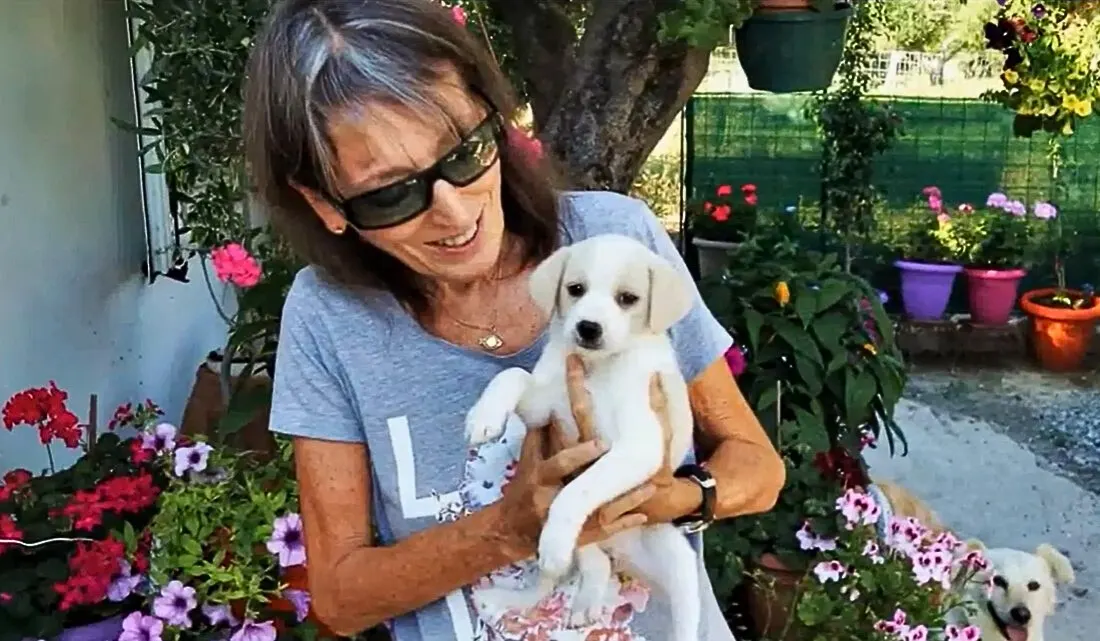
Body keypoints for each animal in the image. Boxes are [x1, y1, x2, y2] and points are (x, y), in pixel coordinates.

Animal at [468, 231, 699, 637]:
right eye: (575, 289)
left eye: (628, 298)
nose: (588, 328)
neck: (597, 368)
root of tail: (620, 551)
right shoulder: (545, 408)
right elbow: (512, 375)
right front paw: (484, 416)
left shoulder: (639, 446)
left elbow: (580, 489)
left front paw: (554, 539)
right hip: (592, 542)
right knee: (594, 563)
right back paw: (583, 601)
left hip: (675, 560)